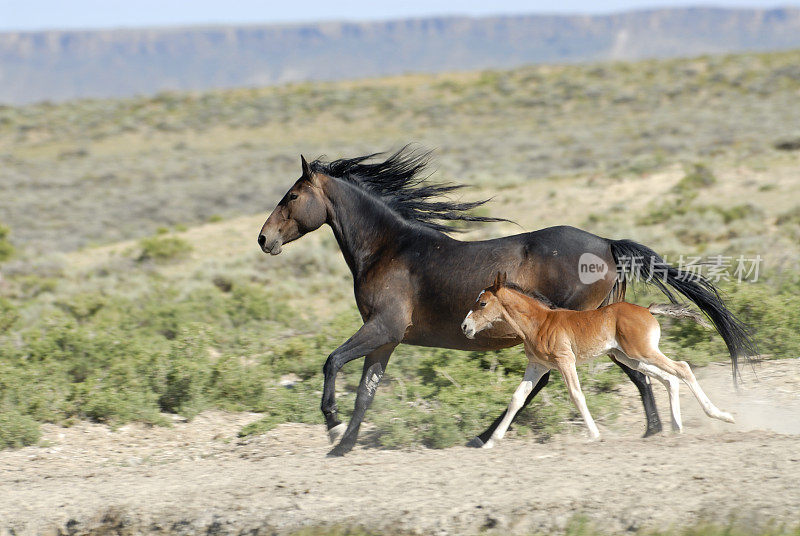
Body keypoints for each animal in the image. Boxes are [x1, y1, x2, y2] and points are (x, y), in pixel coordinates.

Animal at [460, 274, 736, 446]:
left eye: (482, 303)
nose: (464, 327)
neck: (540, 322)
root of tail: (647, 310)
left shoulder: (565, 361)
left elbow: (576, 395)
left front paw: (593, 434)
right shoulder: (537, 366)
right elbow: (517, 398)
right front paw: (491, 441)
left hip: (643, 352)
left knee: (682, 368)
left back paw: (722, 416)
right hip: (631, 358)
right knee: (670, 378)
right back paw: (677, 428)